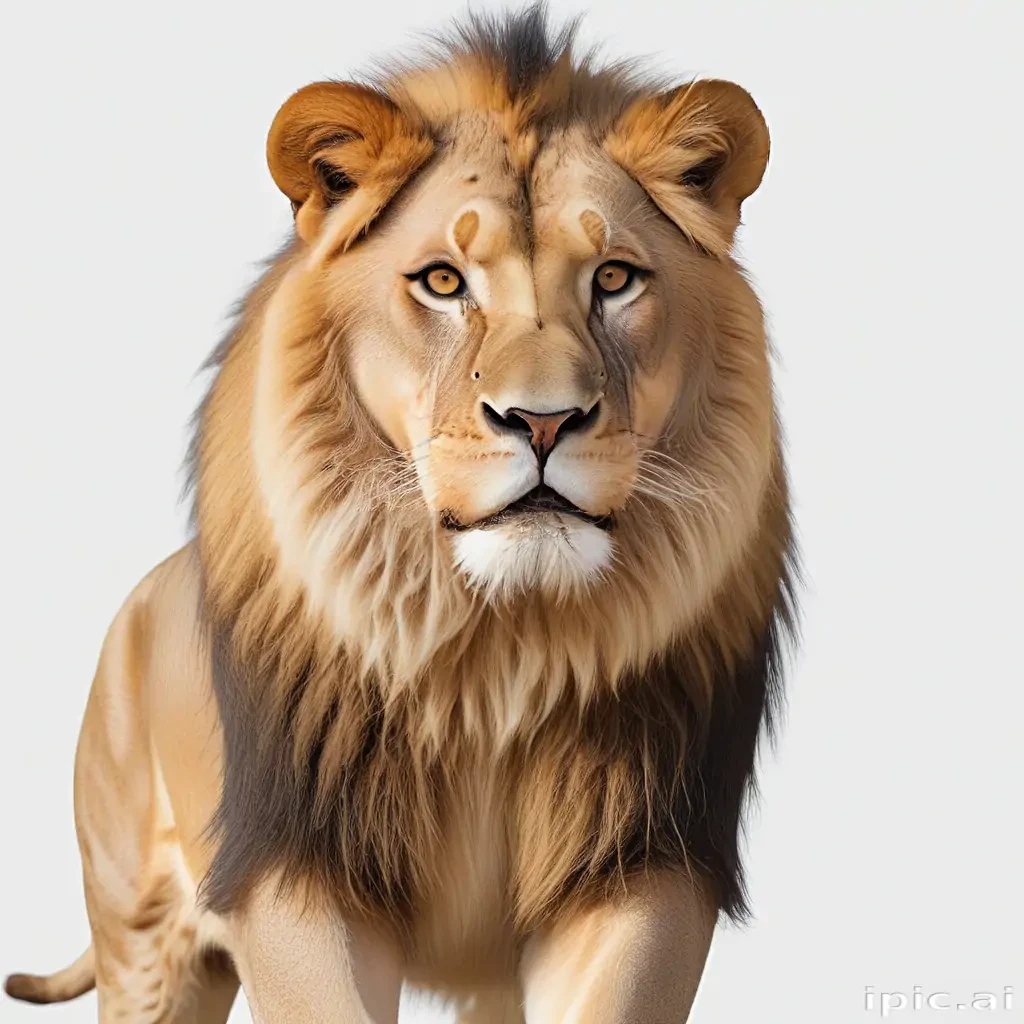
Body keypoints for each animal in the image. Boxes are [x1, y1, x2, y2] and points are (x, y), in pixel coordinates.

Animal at [5, 7, 796, 1022]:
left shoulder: (639, 861)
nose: (544, 420)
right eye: (444, 283)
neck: (497, 656)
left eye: (616, 278)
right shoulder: (296, 868)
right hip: (143, 940)